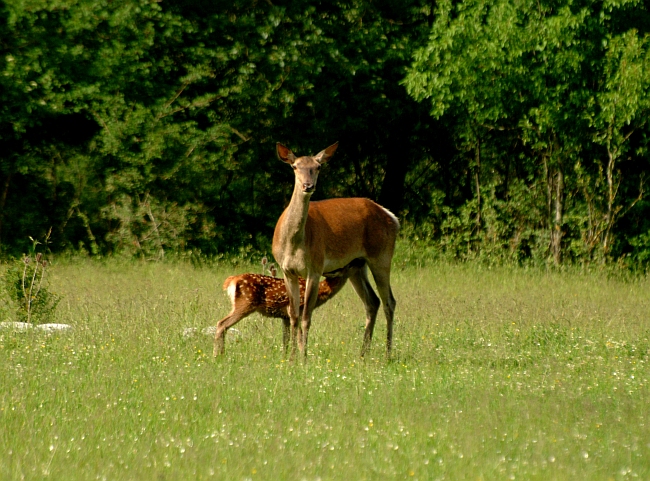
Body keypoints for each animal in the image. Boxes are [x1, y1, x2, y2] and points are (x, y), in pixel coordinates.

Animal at [213, 256, 364, 354]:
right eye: (350, 264)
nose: (361, 261)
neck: (320, 292)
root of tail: (232, 280)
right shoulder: (297, 310)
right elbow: (300, 339)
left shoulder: (284, 317)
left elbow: (285, 341)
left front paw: (285, 360)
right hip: (245, 303)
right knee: (222, 324)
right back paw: (218, 356)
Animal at [270, 142, 398, 360]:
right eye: (295, 166)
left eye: (318, 166)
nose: (308, 186)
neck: (293, 244)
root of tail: (391, 216)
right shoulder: (287, 270)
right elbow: (293, 315)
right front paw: (291, 358)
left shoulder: (315, 267)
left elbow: (306, 316)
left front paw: (304, 358)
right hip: (357, 265)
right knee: (372, 301)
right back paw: (363, 354)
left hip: (382, 255)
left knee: (389, 301)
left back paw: (388, 354)